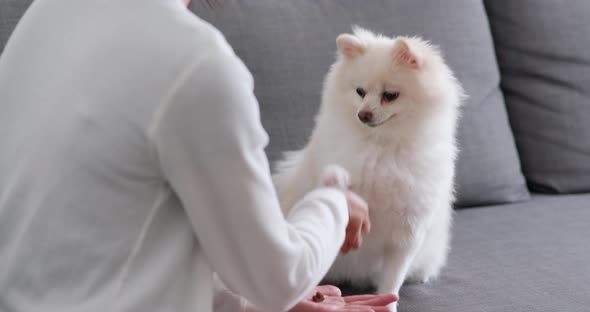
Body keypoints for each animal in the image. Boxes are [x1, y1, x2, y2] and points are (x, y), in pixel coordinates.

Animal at [274, 28, 468, 310]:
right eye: (360, 91)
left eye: (390, 95)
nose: (363, 114)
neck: (382, 146)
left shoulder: (407, 231)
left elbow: (392, 280)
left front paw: (388, 304)